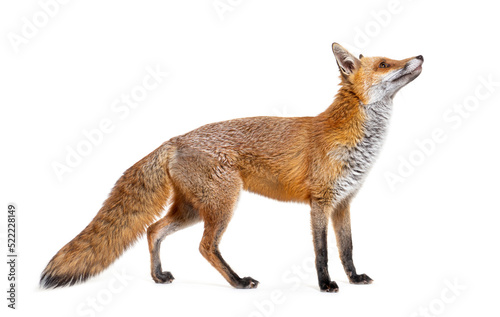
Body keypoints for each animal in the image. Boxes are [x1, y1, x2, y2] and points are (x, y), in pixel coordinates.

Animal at [41, 42, 422, 292]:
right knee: (204, 246)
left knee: (153, 230)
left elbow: (347, 248)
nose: (419, 55)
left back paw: (158, 277)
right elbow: (323, 252)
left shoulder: (344, 202)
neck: (356, 141)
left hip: (192, 209)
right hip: (223, 204)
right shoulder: (320, 202)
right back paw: (238, 281)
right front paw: (326, 285)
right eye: (385, 63)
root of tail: (175, 139)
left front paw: (354, 278)